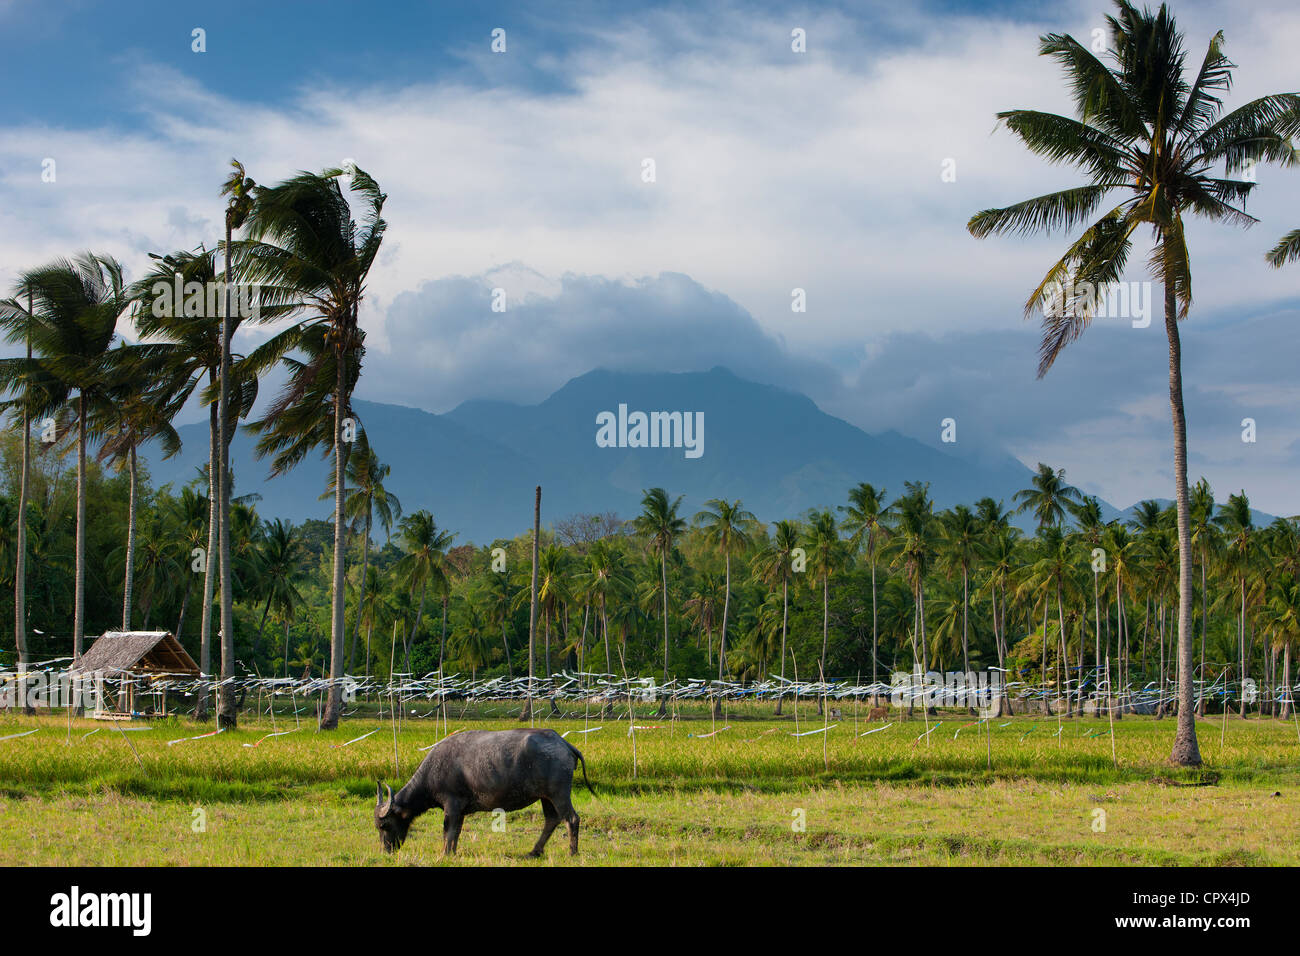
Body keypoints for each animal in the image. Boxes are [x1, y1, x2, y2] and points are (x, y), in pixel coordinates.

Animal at [374, 728, 595, 858]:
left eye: (384, 825)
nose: (386, 851)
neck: (433, 771)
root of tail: (564, 743)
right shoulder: (460, 811)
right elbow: (456, 832)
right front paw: (453, 852)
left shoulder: (451, 805)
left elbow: (448, 831)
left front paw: (445, 853)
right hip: (545, 797)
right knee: (552, 820)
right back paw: (534, 851)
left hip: (559, 794)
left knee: (571, 819)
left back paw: (572, 852)